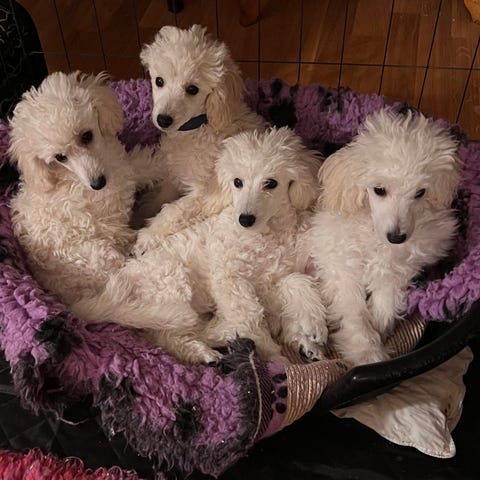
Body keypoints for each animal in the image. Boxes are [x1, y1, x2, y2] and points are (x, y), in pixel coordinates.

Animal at [9, 71, 151, 307]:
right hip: (101, 257)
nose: (98, 184)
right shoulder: (118, 187)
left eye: (87, 136)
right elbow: (144, 166)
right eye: (60, 157)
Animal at [72, 127, 328, 364]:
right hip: (172, 280)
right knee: (168, 334)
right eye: (237, 182)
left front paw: (312, 327)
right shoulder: (229, 279)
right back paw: (207, 346)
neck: (264, 234)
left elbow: (296, 281)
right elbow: (250, 317)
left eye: (271, 183)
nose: (244, 219)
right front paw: (275, 357)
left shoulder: (273, 280)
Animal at [131, 24, 266, 254]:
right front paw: (143, 212)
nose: (163, 119)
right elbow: (161, 197)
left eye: (192, 89)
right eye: (159, 81)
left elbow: (172, 211)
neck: (196, 127)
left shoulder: (205, 193)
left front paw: (146, 237)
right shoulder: (174, 175)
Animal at [296, 109, 460, 367]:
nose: (397, 237)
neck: (375, 236)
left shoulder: (397, 269)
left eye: (420, 193)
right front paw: (368, 352)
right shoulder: (343, 270)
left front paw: (380, 331)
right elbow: (355, 314)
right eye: (379, 190)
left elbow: (386, 303)